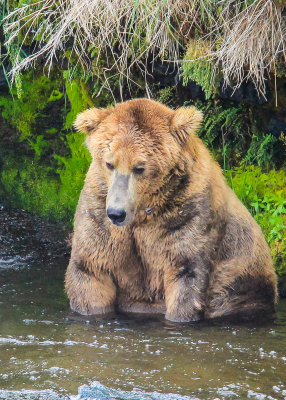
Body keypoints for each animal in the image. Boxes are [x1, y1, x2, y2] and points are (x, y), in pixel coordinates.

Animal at [65, 98, 278, 324]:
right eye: (109, 163)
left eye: (139, 167)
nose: (116, 213)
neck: (144, 211)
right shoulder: (98, 212)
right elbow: (90, 269)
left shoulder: (186, 212)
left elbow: (185, 272)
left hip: (241, 284)